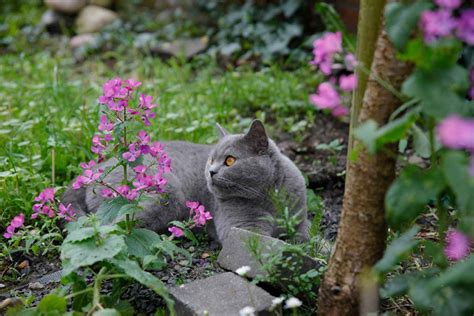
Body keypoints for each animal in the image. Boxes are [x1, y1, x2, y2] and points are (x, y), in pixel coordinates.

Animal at [61, 119, 310, 243]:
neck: (271, 197)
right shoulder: (242, 227)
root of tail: (95, 169)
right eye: (211, 159)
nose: (211, 172)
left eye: (230, 160)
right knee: (113, 227)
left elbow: (306, 238)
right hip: (166, 193)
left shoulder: (301, 219)